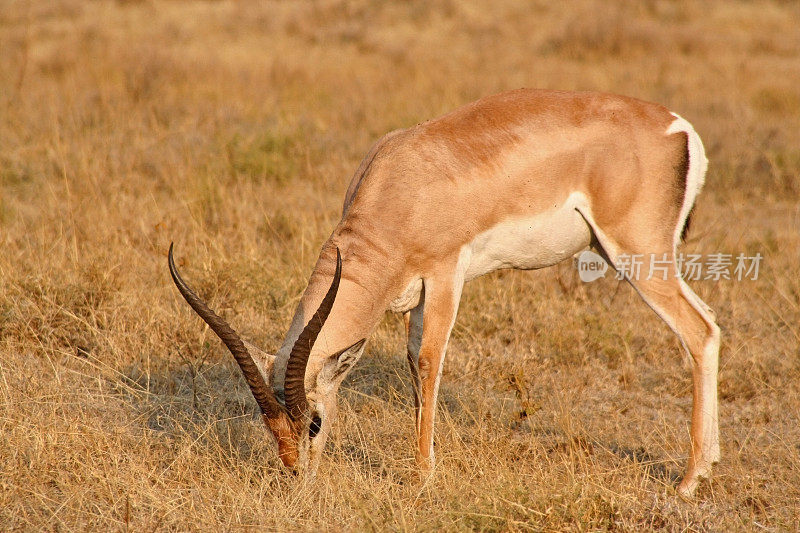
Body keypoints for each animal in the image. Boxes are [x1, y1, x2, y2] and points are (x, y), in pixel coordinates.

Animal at [169, 88, 720, 498]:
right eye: (271, 428)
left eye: (315, 423)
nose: (297, 479)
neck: (401, 186)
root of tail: (678, 126)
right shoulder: (412, 296)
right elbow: (414, 364)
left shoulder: (445, 275)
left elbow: (430, 360)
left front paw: (422, 477)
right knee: (710, 324)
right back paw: (708, 466)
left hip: (637, 255)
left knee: (700, 330)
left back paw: (689, 482)